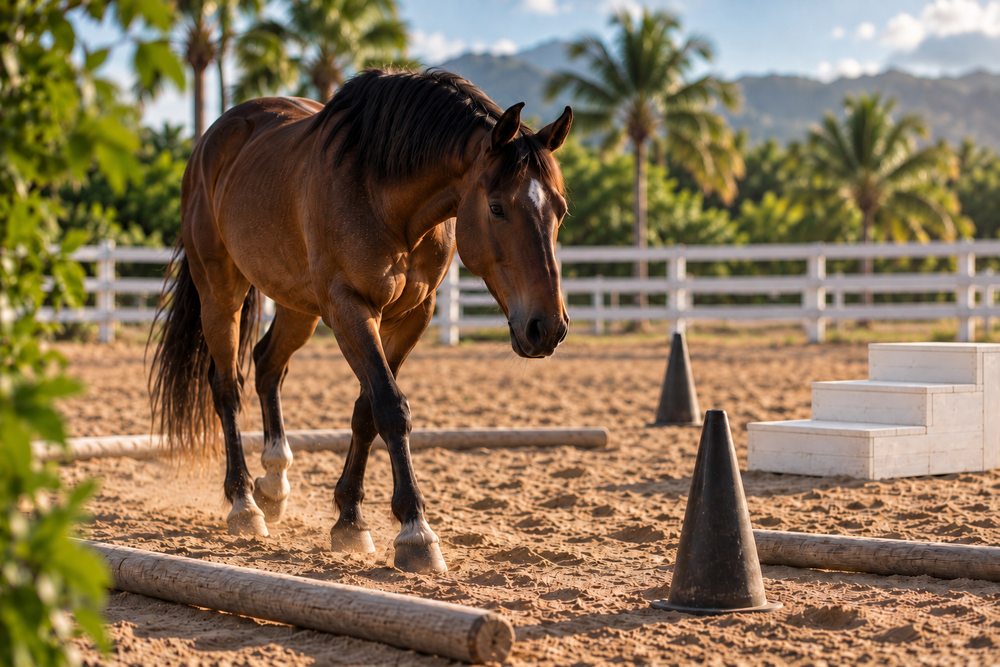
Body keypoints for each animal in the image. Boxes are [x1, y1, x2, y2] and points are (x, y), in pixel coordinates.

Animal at [149, 68, 572, 573]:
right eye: (496, 207)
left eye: (560, 210)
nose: (547, 328)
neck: (384, 195)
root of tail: (215, 137)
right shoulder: (349, 308)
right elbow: (390, 406)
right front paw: (415, 531)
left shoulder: (411, 316)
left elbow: (366, 412)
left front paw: (350, 518)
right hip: (220, 290)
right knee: (227, 386)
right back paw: (244, 504)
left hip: (297, 305)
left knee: (267, 364)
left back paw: (273, 481)